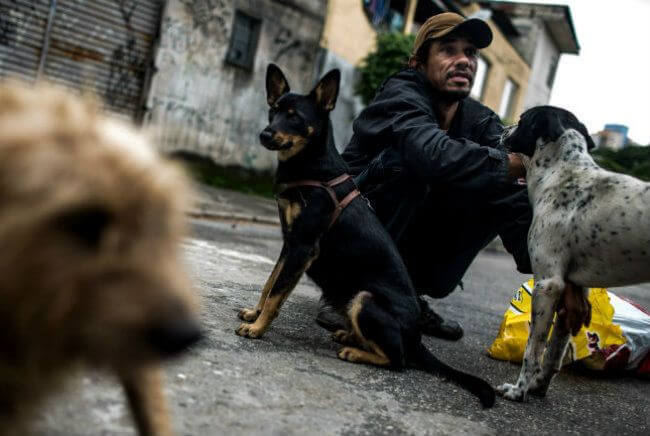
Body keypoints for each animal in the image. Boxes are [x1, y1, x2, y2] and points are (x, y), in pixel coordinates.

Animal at [235, 64, 494, 408]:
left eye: (294, 117)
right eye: (273, 111)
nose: (265, 134)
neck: (314, 169)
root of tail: (416, 337)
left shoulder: (302, 247)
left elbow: (277, 294)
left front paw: (257, 328)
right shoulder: (289, 245)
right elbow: (269, 284)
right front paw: (255, 314)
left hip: (364, 299)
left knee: (399, 361)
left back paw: (355, 351)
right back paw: (350, 336)